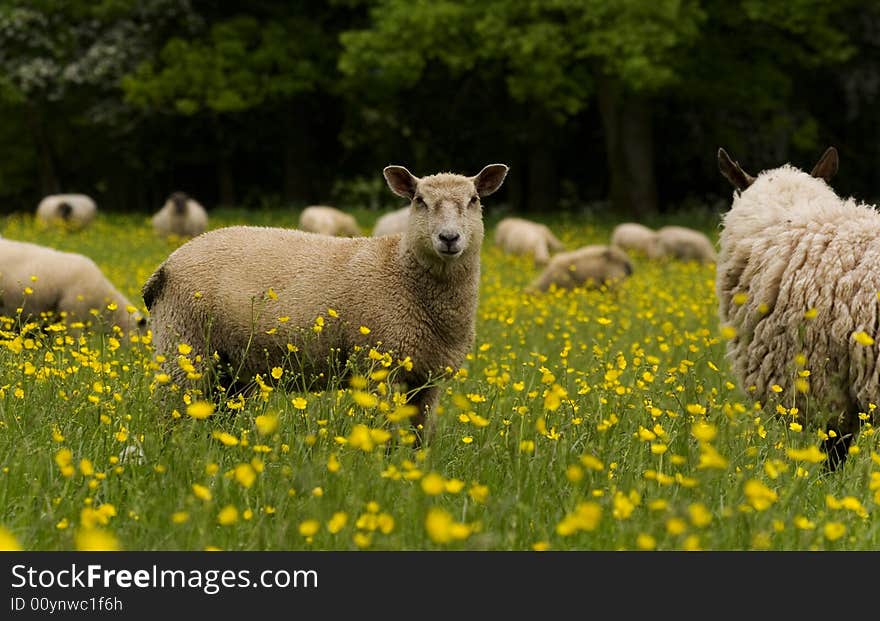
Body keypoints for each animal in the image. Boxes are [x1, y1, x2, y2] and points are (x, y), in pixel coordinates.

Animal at [140, 160, 506, 440]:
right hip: (183, 345)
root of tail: (166, 265)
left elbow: (419, 438)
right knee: (168, 413)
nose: (449, 238)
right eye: (419, 200)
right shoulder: (378, 368)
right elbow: (385, 433)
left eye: (474, 199)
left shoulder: (427, 379)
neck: (401, 271)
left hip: (228, 368)